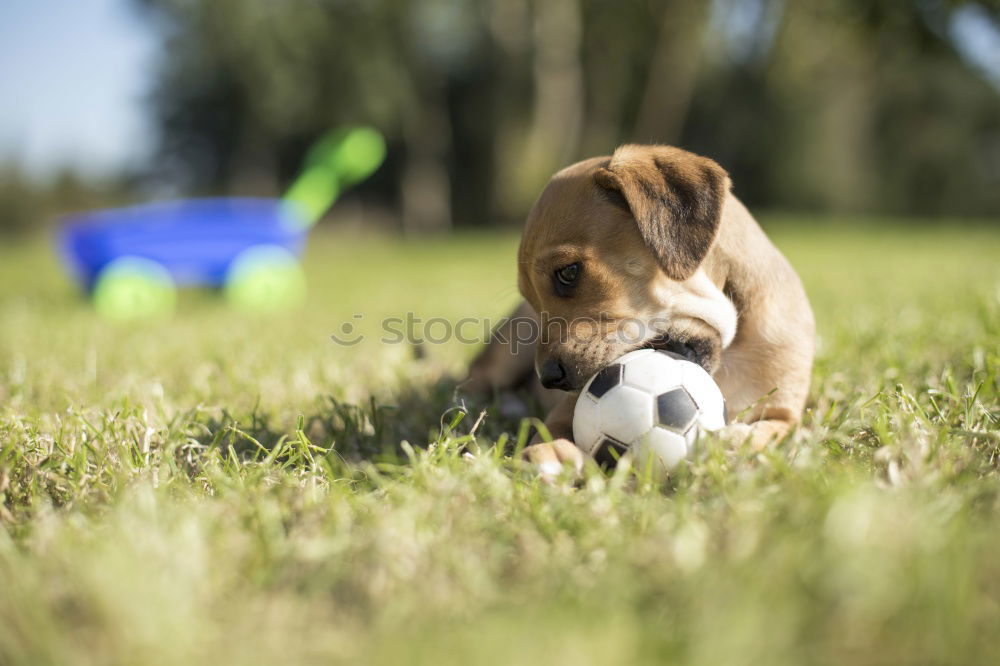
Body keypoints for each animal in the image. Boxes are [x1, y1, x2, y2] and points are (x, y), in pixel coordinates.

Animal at [466, 143, 812, 470]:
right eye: (532, 298)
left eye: (568, 272)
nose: (549, 379)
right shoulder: (570, 403)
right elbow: (552, 428)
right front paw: (552, 452)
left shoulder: (784, 411)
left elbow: (770, 433)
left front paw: (734, 443)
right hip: (507, 351)